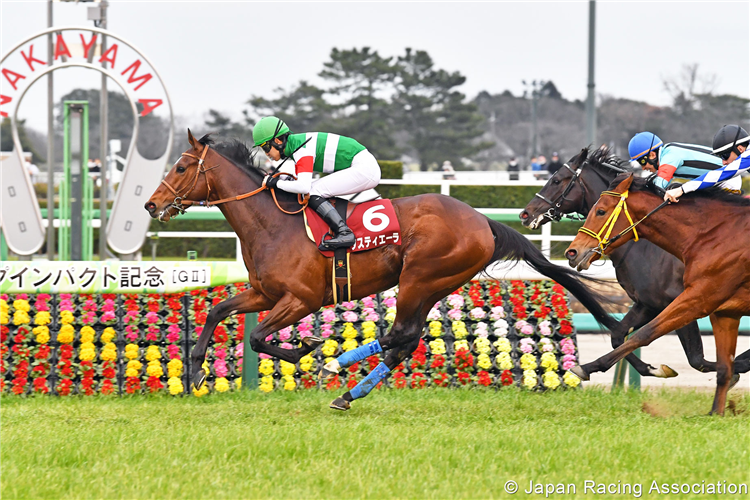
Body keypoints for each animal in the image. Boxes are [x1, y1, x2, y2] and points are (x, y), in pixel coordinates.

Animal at [147, 131, 624, 408]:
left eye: (182, 166)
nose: (152, 204)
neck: (273, 223)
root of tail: (483, 221)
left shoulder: (300, 299)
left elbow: (259, 338)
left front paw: (305, 349)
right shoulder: (265, 292)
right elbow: (218, 311)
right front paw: (194, 370)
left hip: (421, 277)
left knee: (400, 336)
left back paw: (337, 370)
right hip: (431, 284)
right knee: (403, 340)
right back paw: (347, 393)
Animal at [520, 146, 748, 380]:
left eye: (556, 180)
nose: (525, 214)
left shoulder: (686, 299)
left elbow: (697, 359)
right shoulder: (647, 304)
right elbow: (618, 336)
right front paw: (653, 368)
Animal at [568, 174, 750, 416]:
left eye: (601, 211)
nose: (572, 252)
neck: (711, 234)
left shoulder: (698, 298)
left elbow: (645, 333)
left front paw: (587, 367)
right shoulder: (724, 311)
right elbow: (723, 367)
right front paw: (716, 413)